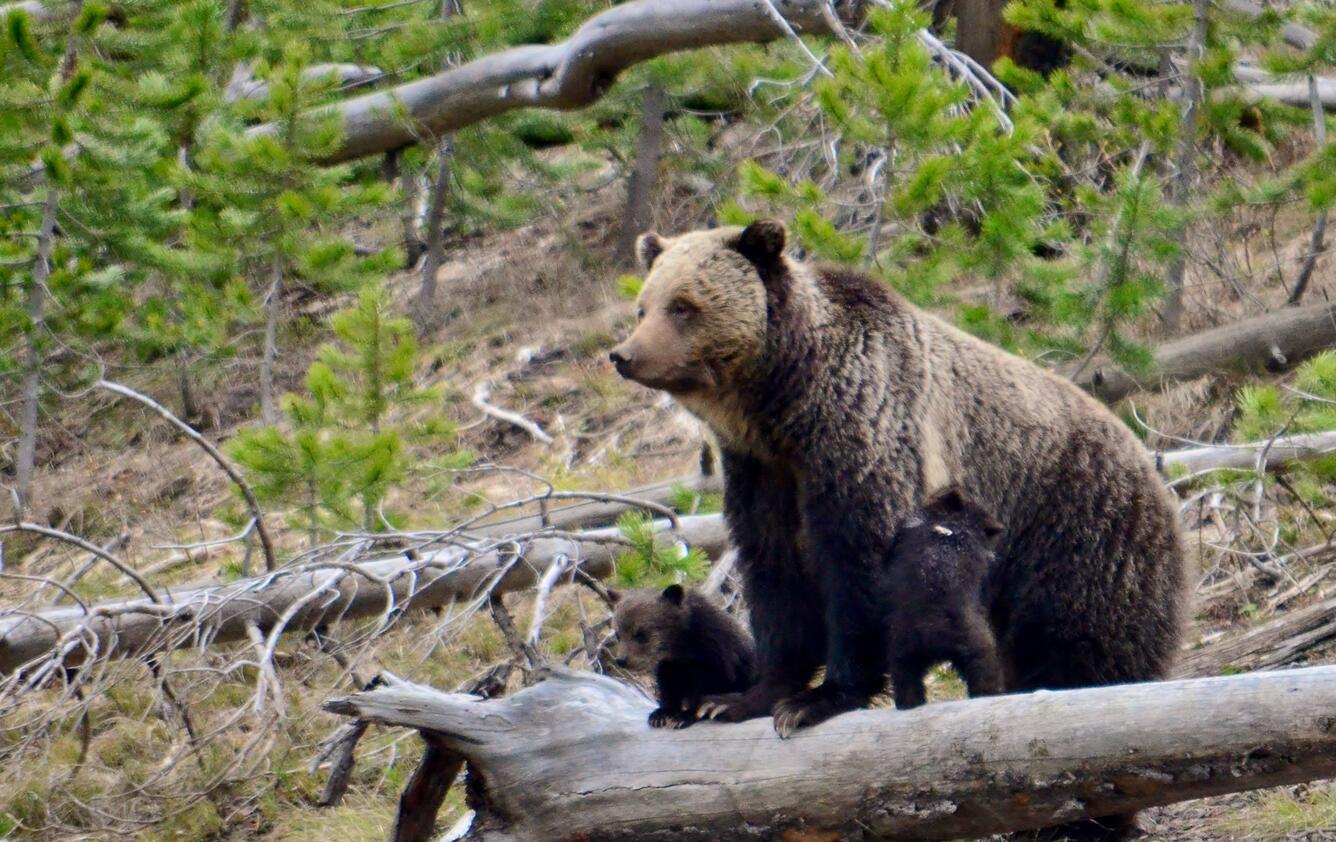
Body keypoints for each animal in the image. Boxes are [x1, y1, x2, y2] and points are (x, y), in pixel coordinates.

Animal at [611, 588, 758, 732]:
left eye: (640, 634)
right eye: (618, 634)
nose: (621, 660)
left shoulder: (716, 660)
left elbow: (705, 689)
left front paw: (684, 716)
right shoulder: (670, 665)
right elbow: (669, 686)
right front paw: (660, 715)